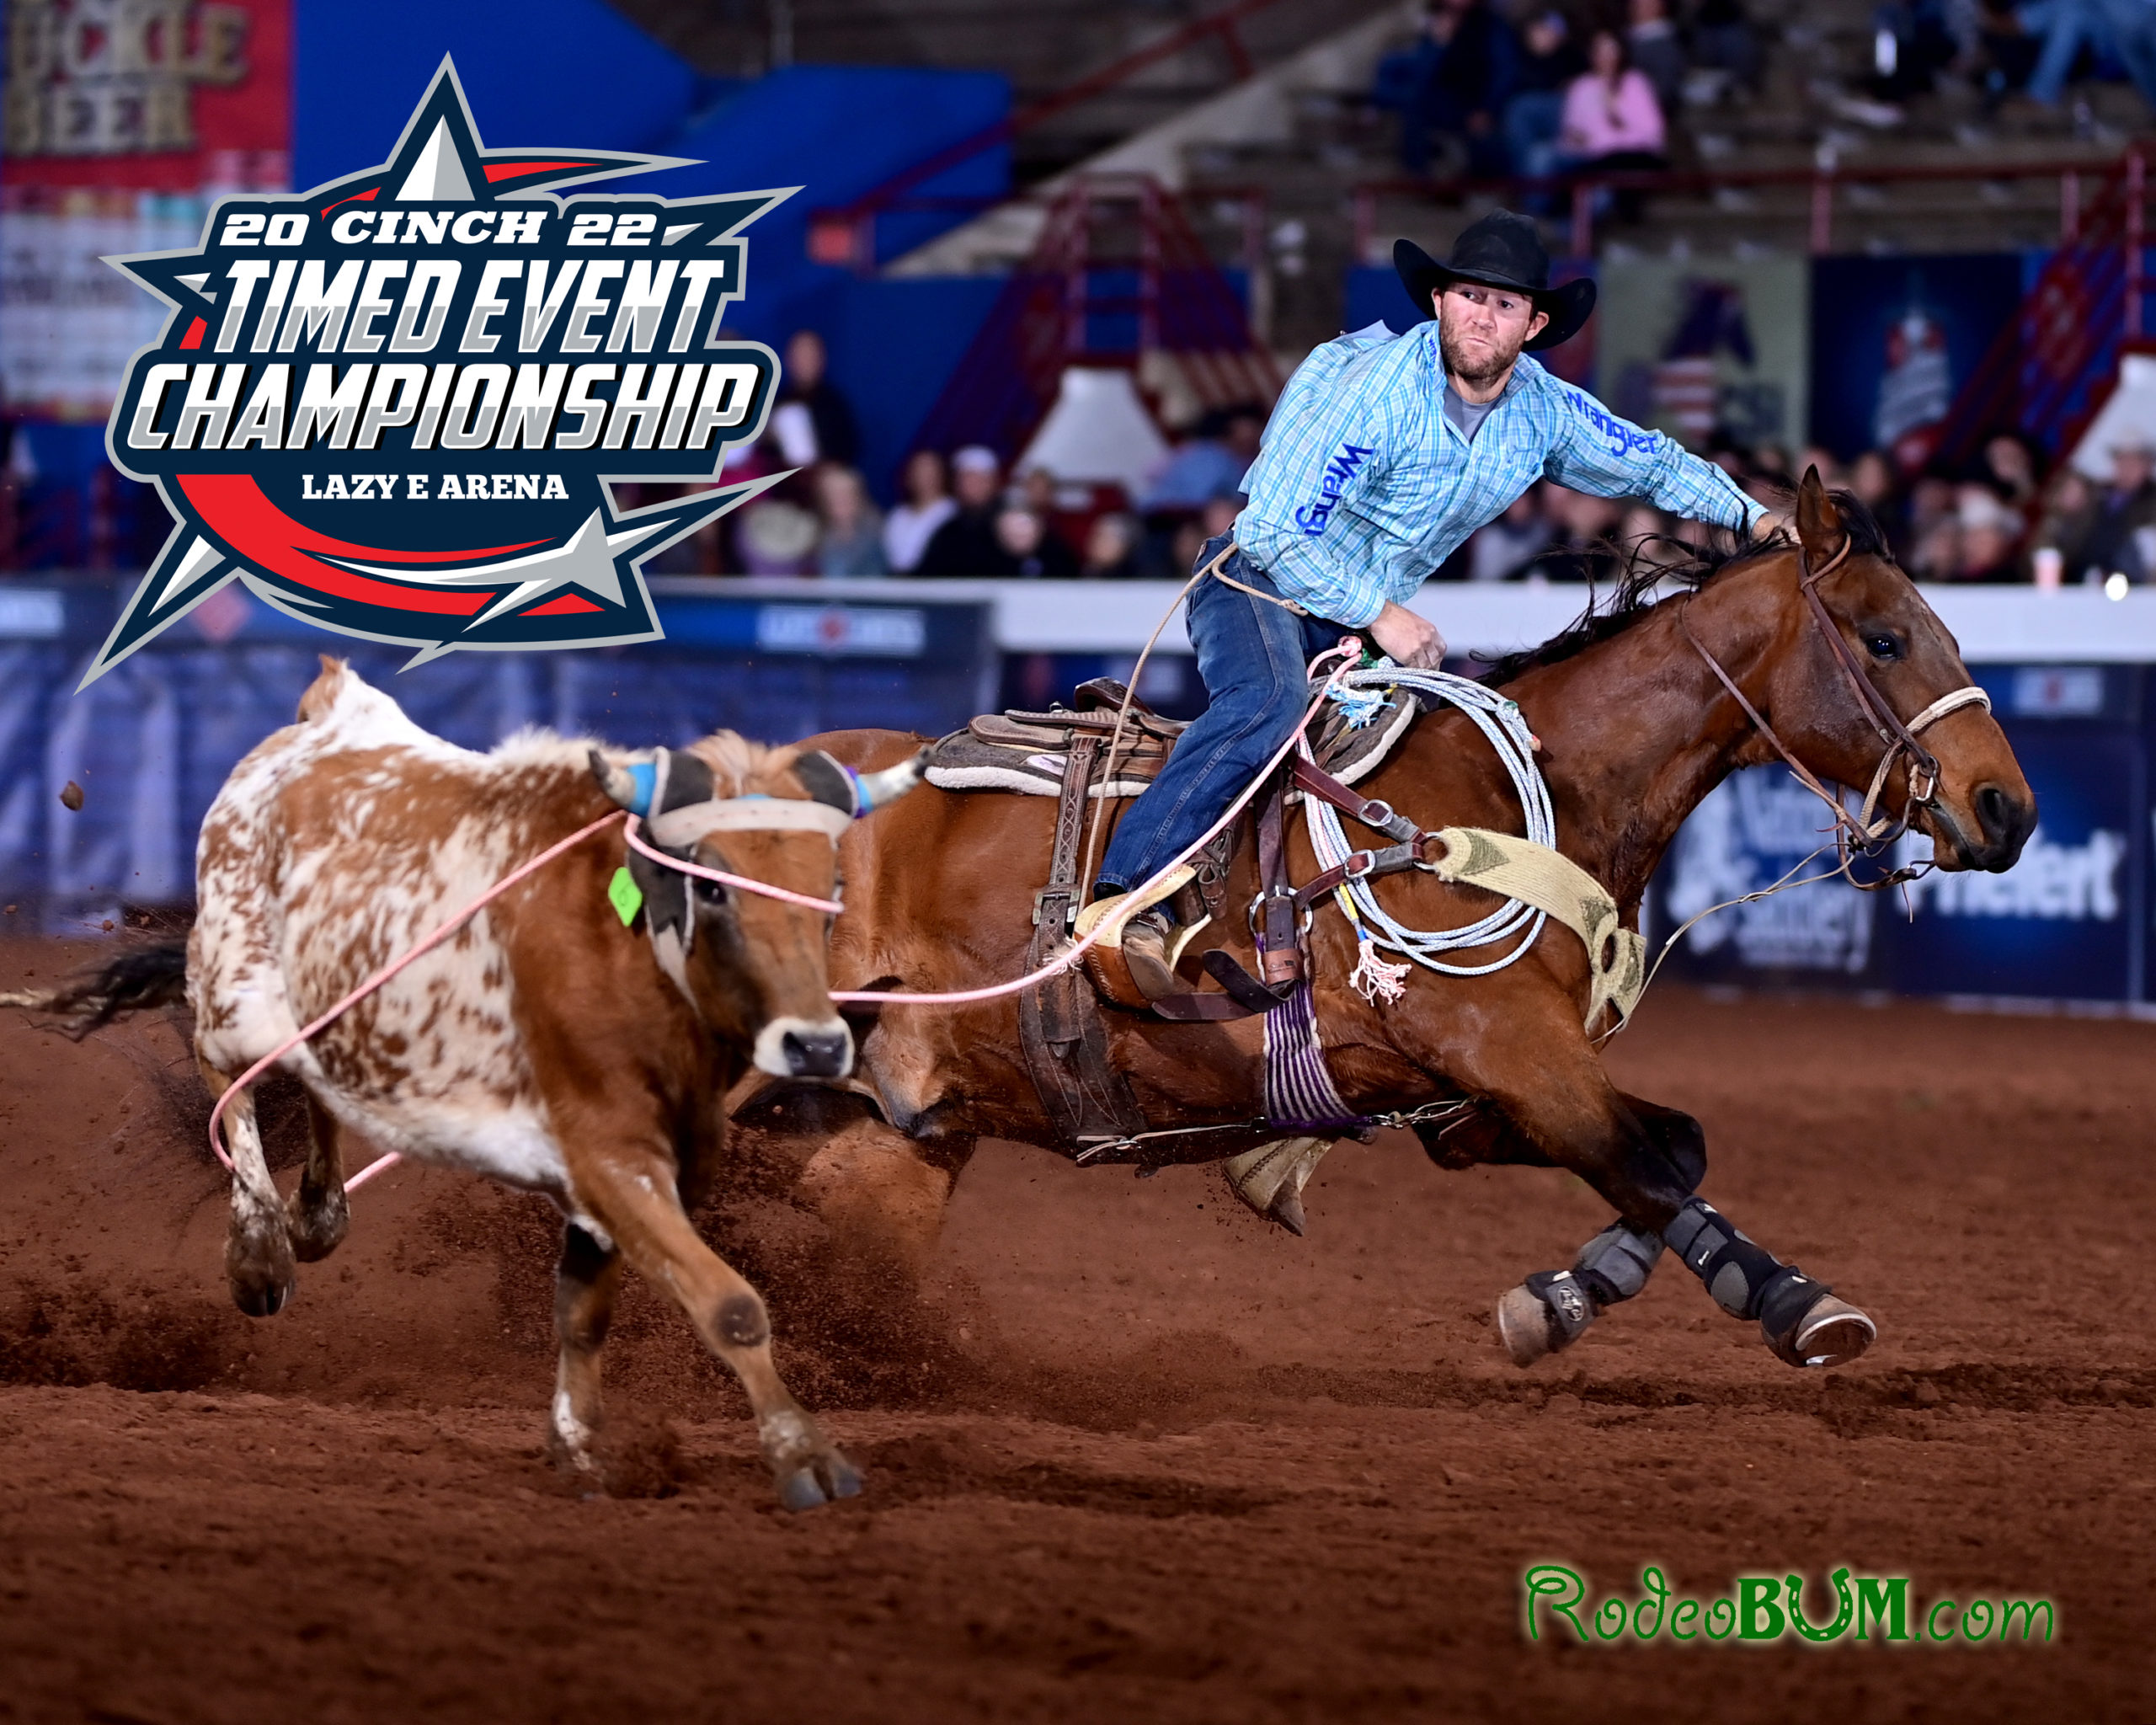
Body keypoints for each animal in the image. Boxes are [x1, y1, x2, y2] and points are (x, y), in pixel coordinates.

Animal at [741, 467, 2035, 1371]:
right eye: (1884, 638)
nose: (2005, 807)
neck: (1510, 796)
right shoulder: (1506, 1044)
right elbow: (1649, 1158)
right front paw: (1801, 1306)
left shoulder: (1470, 1104)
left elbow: (1669, 1153)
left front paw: (1557, 1301)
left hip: (898, 1123)